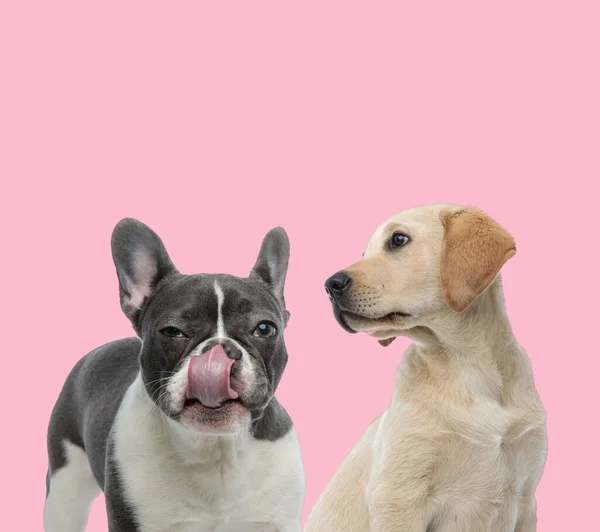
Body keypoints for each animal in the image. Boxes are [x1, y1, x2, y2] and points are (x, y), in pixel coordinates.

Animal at [308, 205, 548, 532]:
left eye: (398, 240)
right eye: (365, 251)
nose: (330, 285)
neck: (467, 367)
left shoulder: (525, 498)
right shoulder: (398, 498)